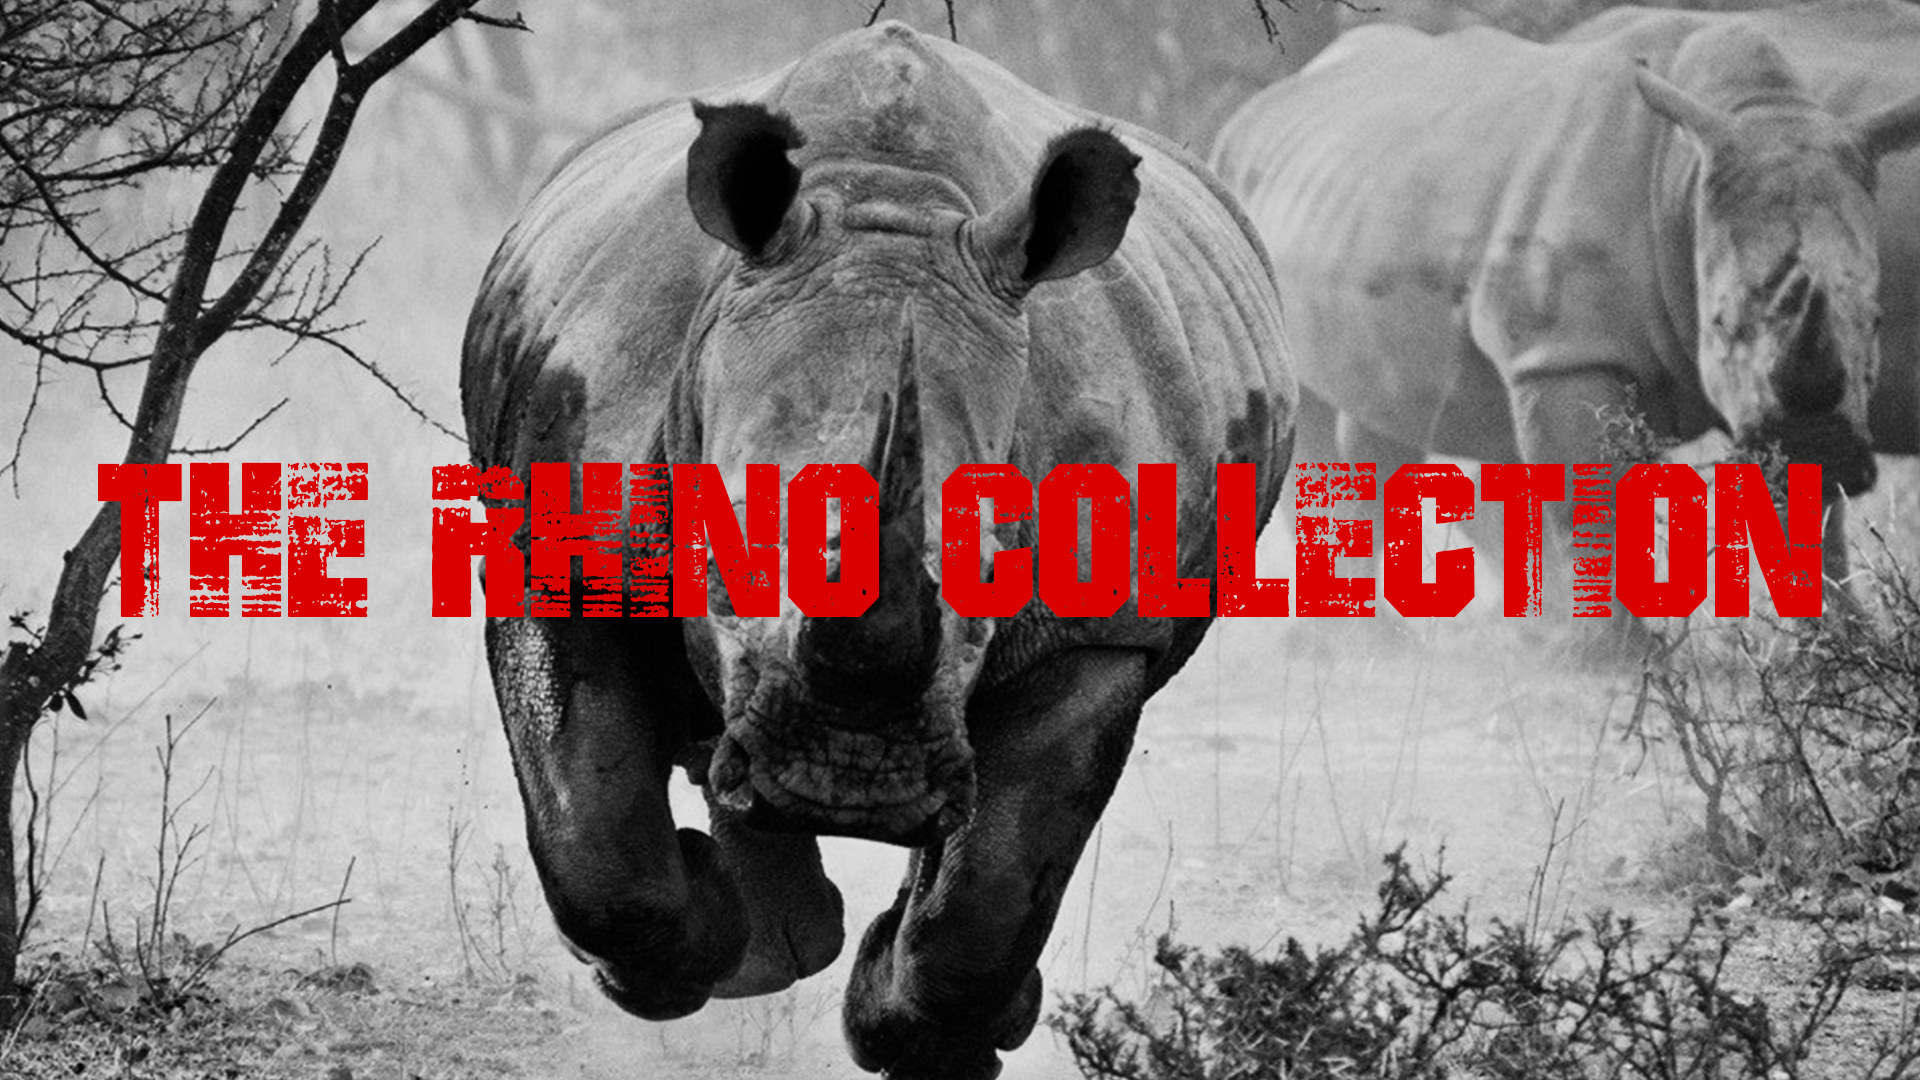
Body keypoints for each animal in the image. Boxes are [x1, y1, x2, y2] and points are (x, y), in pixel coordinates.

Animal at [460, 22, 1293, 1080]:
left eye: (995, 574)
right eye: (721, 563)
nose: (851, 782)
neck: (890, 203)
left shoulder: (1096, 623)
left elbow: (995, 886)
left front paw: (917, 1029)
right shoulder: (562, 532)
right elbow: (596, 841)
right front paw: (685, 957)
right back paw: (774, 945)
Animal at [1210, 0, 1920, 626]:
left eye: (1877, 322)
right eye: (1719, 323)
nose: (1820, 445)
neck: (1685, 181)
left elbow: (1810, 529)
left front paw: (1840, 646)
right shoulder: (1565, 353)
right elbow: (1590, 517)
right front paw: (1620, 666)